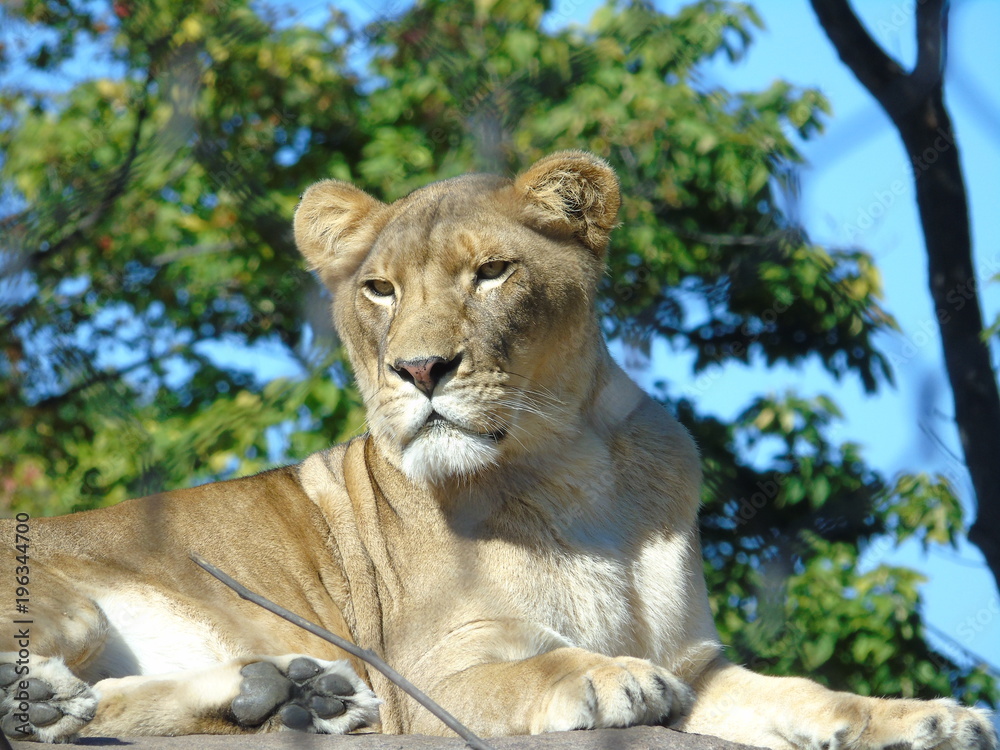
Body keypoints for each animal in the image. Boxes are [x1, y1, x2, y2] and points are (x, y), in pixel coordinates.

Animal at [0, 151, 994, 749]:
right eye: (380, 290)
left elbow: (807, 696)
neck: (576, 475)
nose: (420, 368)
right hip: (71, 608)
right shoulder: (425, 682)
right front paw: (606, 677)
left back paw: (289, 694)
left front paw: (929, 718)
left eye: (492, 273)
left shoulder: (699, 665)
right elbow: (542, 664)